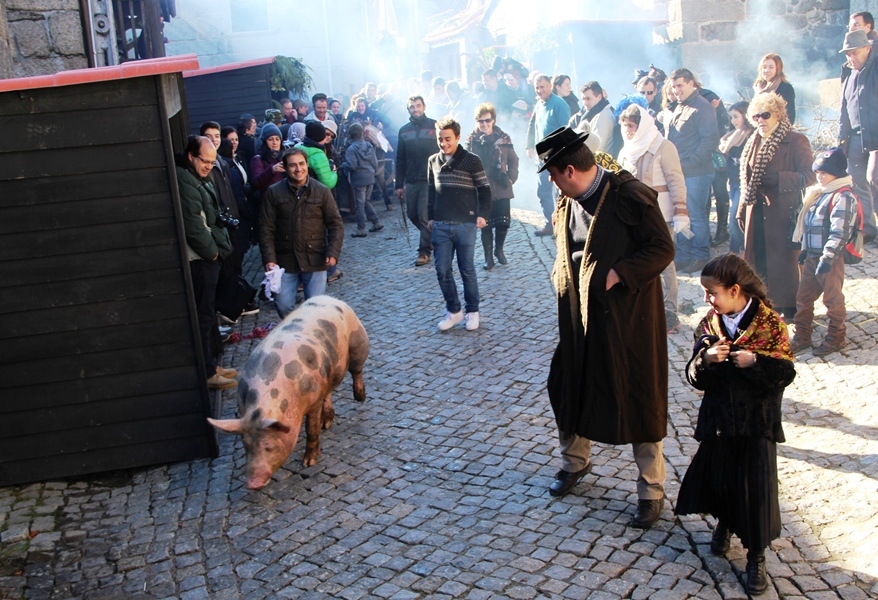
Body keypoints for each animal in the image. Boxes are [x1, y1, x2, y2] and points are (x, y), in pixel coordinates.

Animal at [208, 296, 370, 488]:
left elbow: (311, 429)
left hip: (358, 342)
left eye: (269, 446)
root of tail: (327, 298)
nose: (253, 484)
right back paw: (326, 423)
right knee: (329, 392)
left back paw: (360, 397)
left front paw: (308, 463)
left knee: (356, 371)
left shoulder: (313, 400)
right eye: (246, 446)